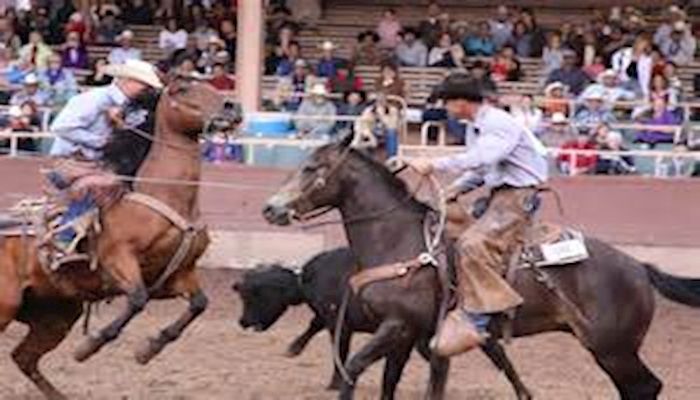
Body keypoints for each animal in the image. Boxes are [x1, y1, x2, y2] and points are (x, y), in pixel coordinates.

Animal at [0, 76, 239, 400]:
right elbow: (136, 300)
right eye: (182, 88)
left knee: (23, 358)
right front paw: (89, 347)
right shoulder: (119, 260)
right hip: (6, 306)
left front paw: (149, 349)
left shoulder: (175, 275)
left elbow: (199, 303)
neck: (168, 197)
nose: (232, 107)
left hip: (56, 314)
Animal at [262, 136, 700, 398]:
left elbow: (353, 367)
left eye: (311, 168)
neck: (398, 240)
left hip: (613, 348)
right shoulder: (409, 333)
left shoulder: (398, 326)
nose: (270, 208)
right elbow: (390, 381)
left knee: (645, 386)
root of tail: (640, 268)